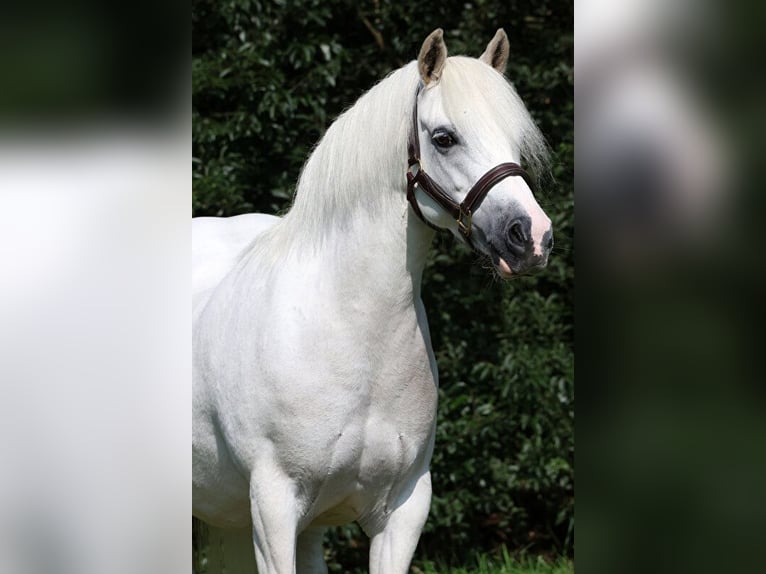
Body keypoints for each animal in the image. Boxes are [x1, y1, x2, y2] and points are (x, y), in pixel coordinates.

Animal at [192, 29, 552, 574]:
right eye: (444, 137)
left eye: (514, 139)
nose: (530, 237)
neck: (355, 330)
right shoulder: (274, 507)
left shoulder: (403, 508)